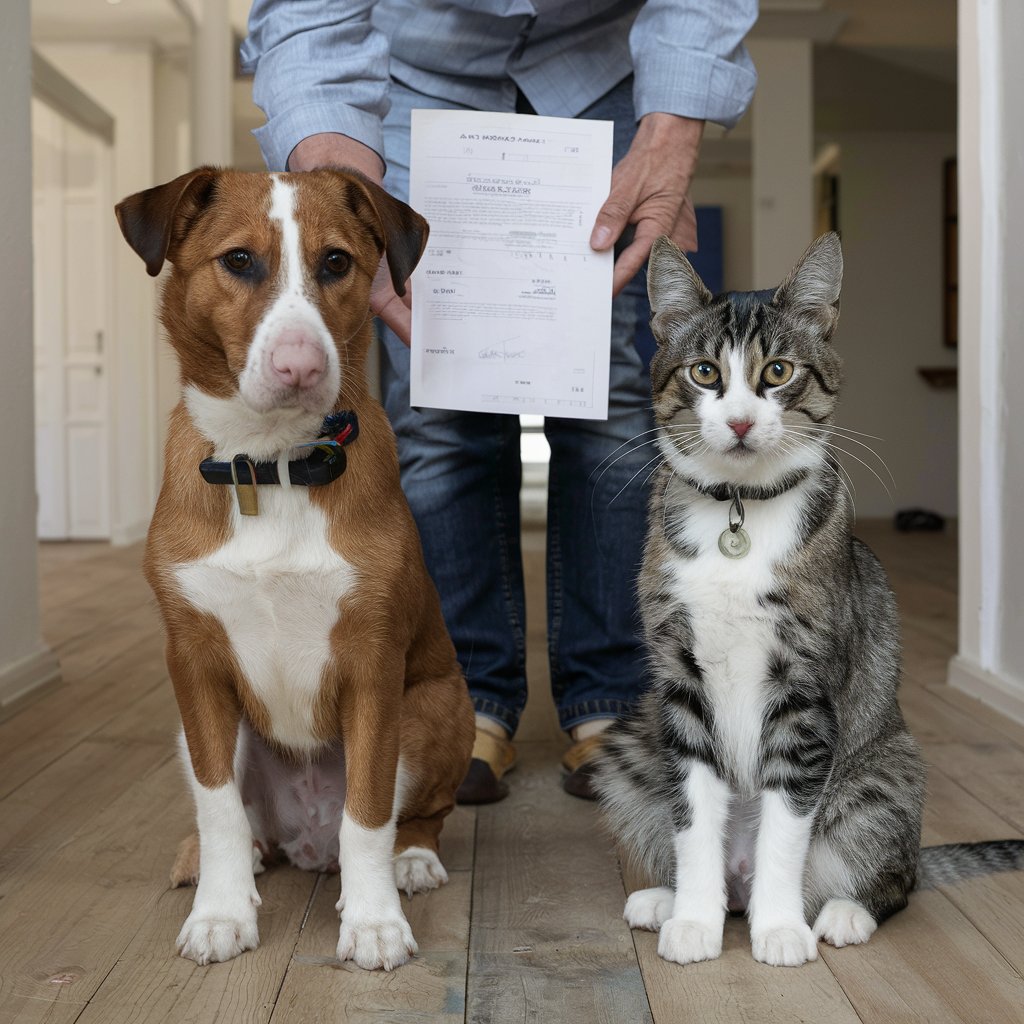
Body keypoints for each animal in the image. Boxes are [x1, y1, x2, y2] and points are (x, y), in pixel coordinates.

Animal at [116, 165, 475, 966]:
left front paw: (372, 921)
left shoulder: (373, 667)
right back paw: (223, 860)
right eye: (238, 260)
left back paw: (412, 859)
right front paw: (222, 913)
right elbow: (219, 806)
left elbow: (367, 812)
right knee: (242, 821)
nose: (301, 366)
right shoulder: (194, 663)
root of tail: (304, 843)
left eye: (336, 262)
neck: (269, 467)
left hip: (437, 705)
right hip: (197, 730)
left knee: (413, 813)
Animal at [593, 232, 1024, 966]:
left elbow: (786, 825)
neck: (739, 514)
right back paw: (671, 899)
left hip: (888, 772)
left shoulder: (806, 688)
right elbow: (693, 814)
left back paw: (843, 912)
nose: (740, 421)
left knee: (895, 875)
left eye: (778, 372)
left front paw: (779, 930)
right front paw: (695, 920)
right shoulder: (680, 683)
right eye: (704, 372)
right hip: (632, 738)